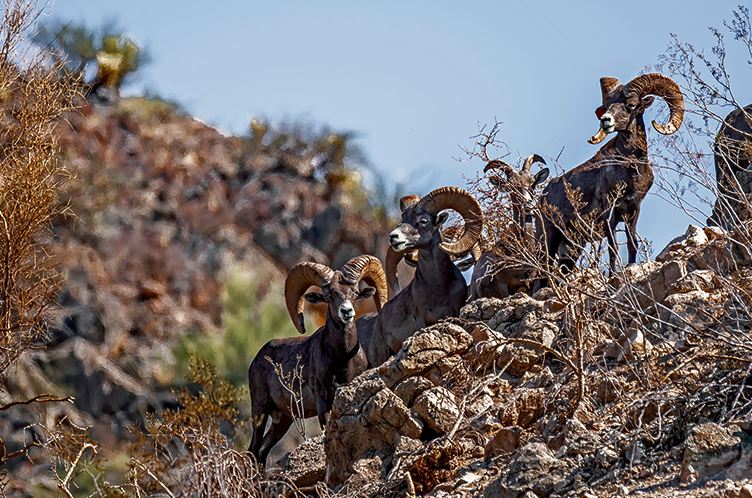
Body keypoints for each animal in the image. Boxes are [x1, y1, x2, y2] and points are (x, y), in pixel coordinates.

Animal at [248, 256, 384, 466]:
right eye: (329, 295)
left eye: (354, 293)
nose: (347, 312)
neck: (343, 359)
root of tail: (257, 359)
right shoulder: (322, 400)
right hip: (260, 410)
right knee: (253, 450)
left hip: (283, 420)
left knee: (262, 451)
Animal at [368, 187, 482, 366]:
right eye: (401, 221)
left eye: (422, 221)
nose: (393, 237)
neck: (438, 289)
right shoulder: (422, 321)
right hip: (380, 355)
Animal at [536, 73, 684, 272]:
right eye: (607, 107)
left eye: (631, 105)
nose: (605, 120)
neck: (631, 172)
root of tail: (542, 198)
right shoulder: (609, 213)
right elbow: (613, 248)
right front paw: (613, 275)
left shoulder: (633, 211)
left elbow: (632, 244)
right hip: (548, 240)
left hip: (572, 246)